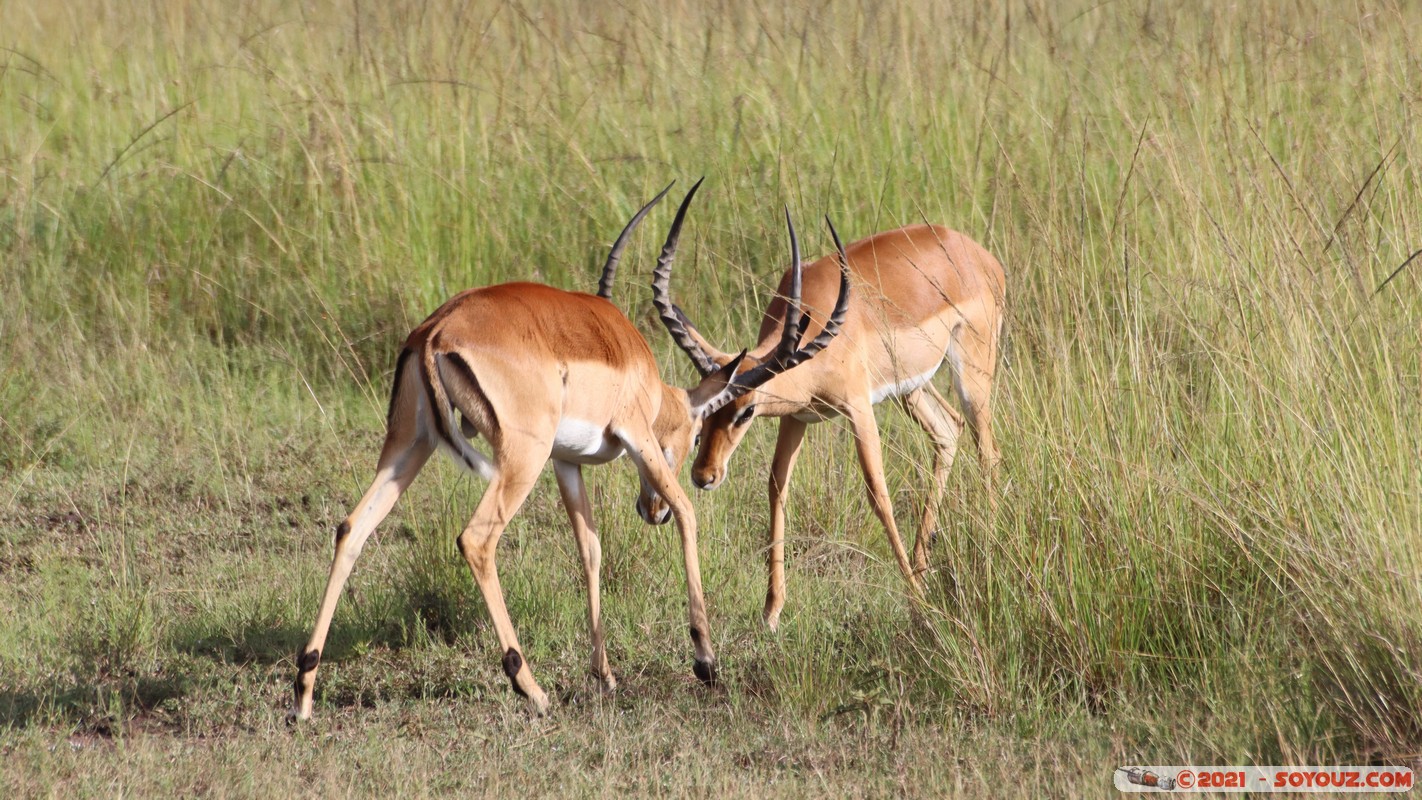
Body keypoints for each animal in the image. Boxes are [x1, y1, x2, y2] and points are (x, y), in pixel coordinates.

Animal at [288, 183, 780, 721]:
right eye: (694, 437)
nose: (652, 513)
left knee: (352, 527)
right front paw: (706, 662)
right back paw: (532, 688)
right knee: (476, 539)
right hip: (520, 458)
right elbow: (689, 512)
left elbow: (590, 548)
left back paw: (304, 692)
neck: (629, 355)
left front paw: (605, 677)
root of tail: (434, 332)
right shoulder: (637, 435)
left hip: (409, 446)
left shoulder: (565, 461)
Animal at [654, 195, 1005, 630]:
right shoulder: (795, 418)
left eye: (746, 412)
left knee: (988, 452)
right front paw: (771, 611)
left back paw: (981, 557)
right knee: (948, 431)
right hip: (911, 389)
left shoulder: (858, 408)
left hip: (972, 376)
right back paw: (923, 566)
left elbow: (878, 492)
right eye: (704, 415)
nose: (704, 476)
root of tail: (978, 254)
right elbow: (777, 487)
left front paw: (918, 605)